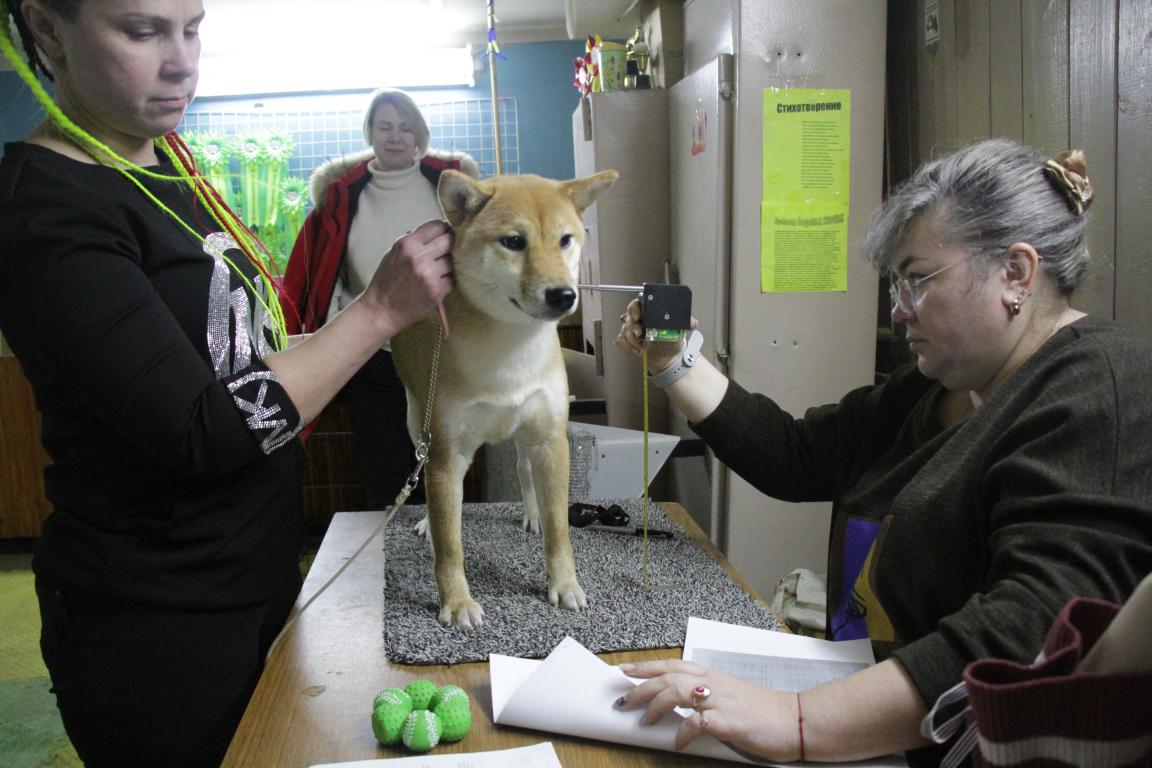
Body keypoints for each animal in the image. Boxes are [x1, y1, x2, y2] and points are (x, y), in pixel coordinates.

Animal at [389, 169, 622, 630]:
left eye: (565, 239)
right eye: (514, 241)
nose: (564, 295)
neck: (511, 348)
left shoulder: (550, 440)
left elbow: (560, 529)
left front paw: (565, 584)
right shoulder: (447, 455)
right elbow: (450, 542)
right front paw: (457, 601)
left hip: (525, 432)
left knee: (521, 467)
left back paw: (531, 512)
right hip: (418, 423)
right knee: (429, 486)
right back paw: (426, 523)